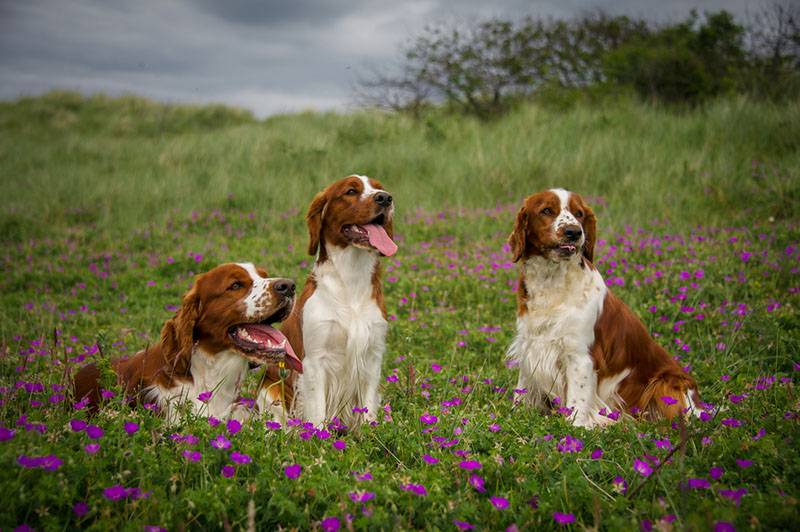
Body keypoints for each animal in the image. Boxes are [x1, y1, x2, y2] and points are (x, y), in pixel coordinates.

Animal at [258, 176, 398, 428]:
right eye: (351, 191)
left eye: (379, 187)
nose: (385, 198)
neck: (351, 279)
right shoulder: (315, 362)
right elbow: (317, 415)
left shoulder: (372, 357)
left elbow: (368, 410)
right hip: (269, 391)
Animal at [506, 189, 700, 426]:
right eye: (546, 210)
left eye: (579, 213)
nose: (574, 232)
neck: (552, 282)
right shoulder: (530, 344)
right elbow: (522, 389)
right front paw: (515, 416)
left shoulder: (580, 355)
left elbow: (577, 402)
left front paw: (576, 427)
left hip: (665, 383)